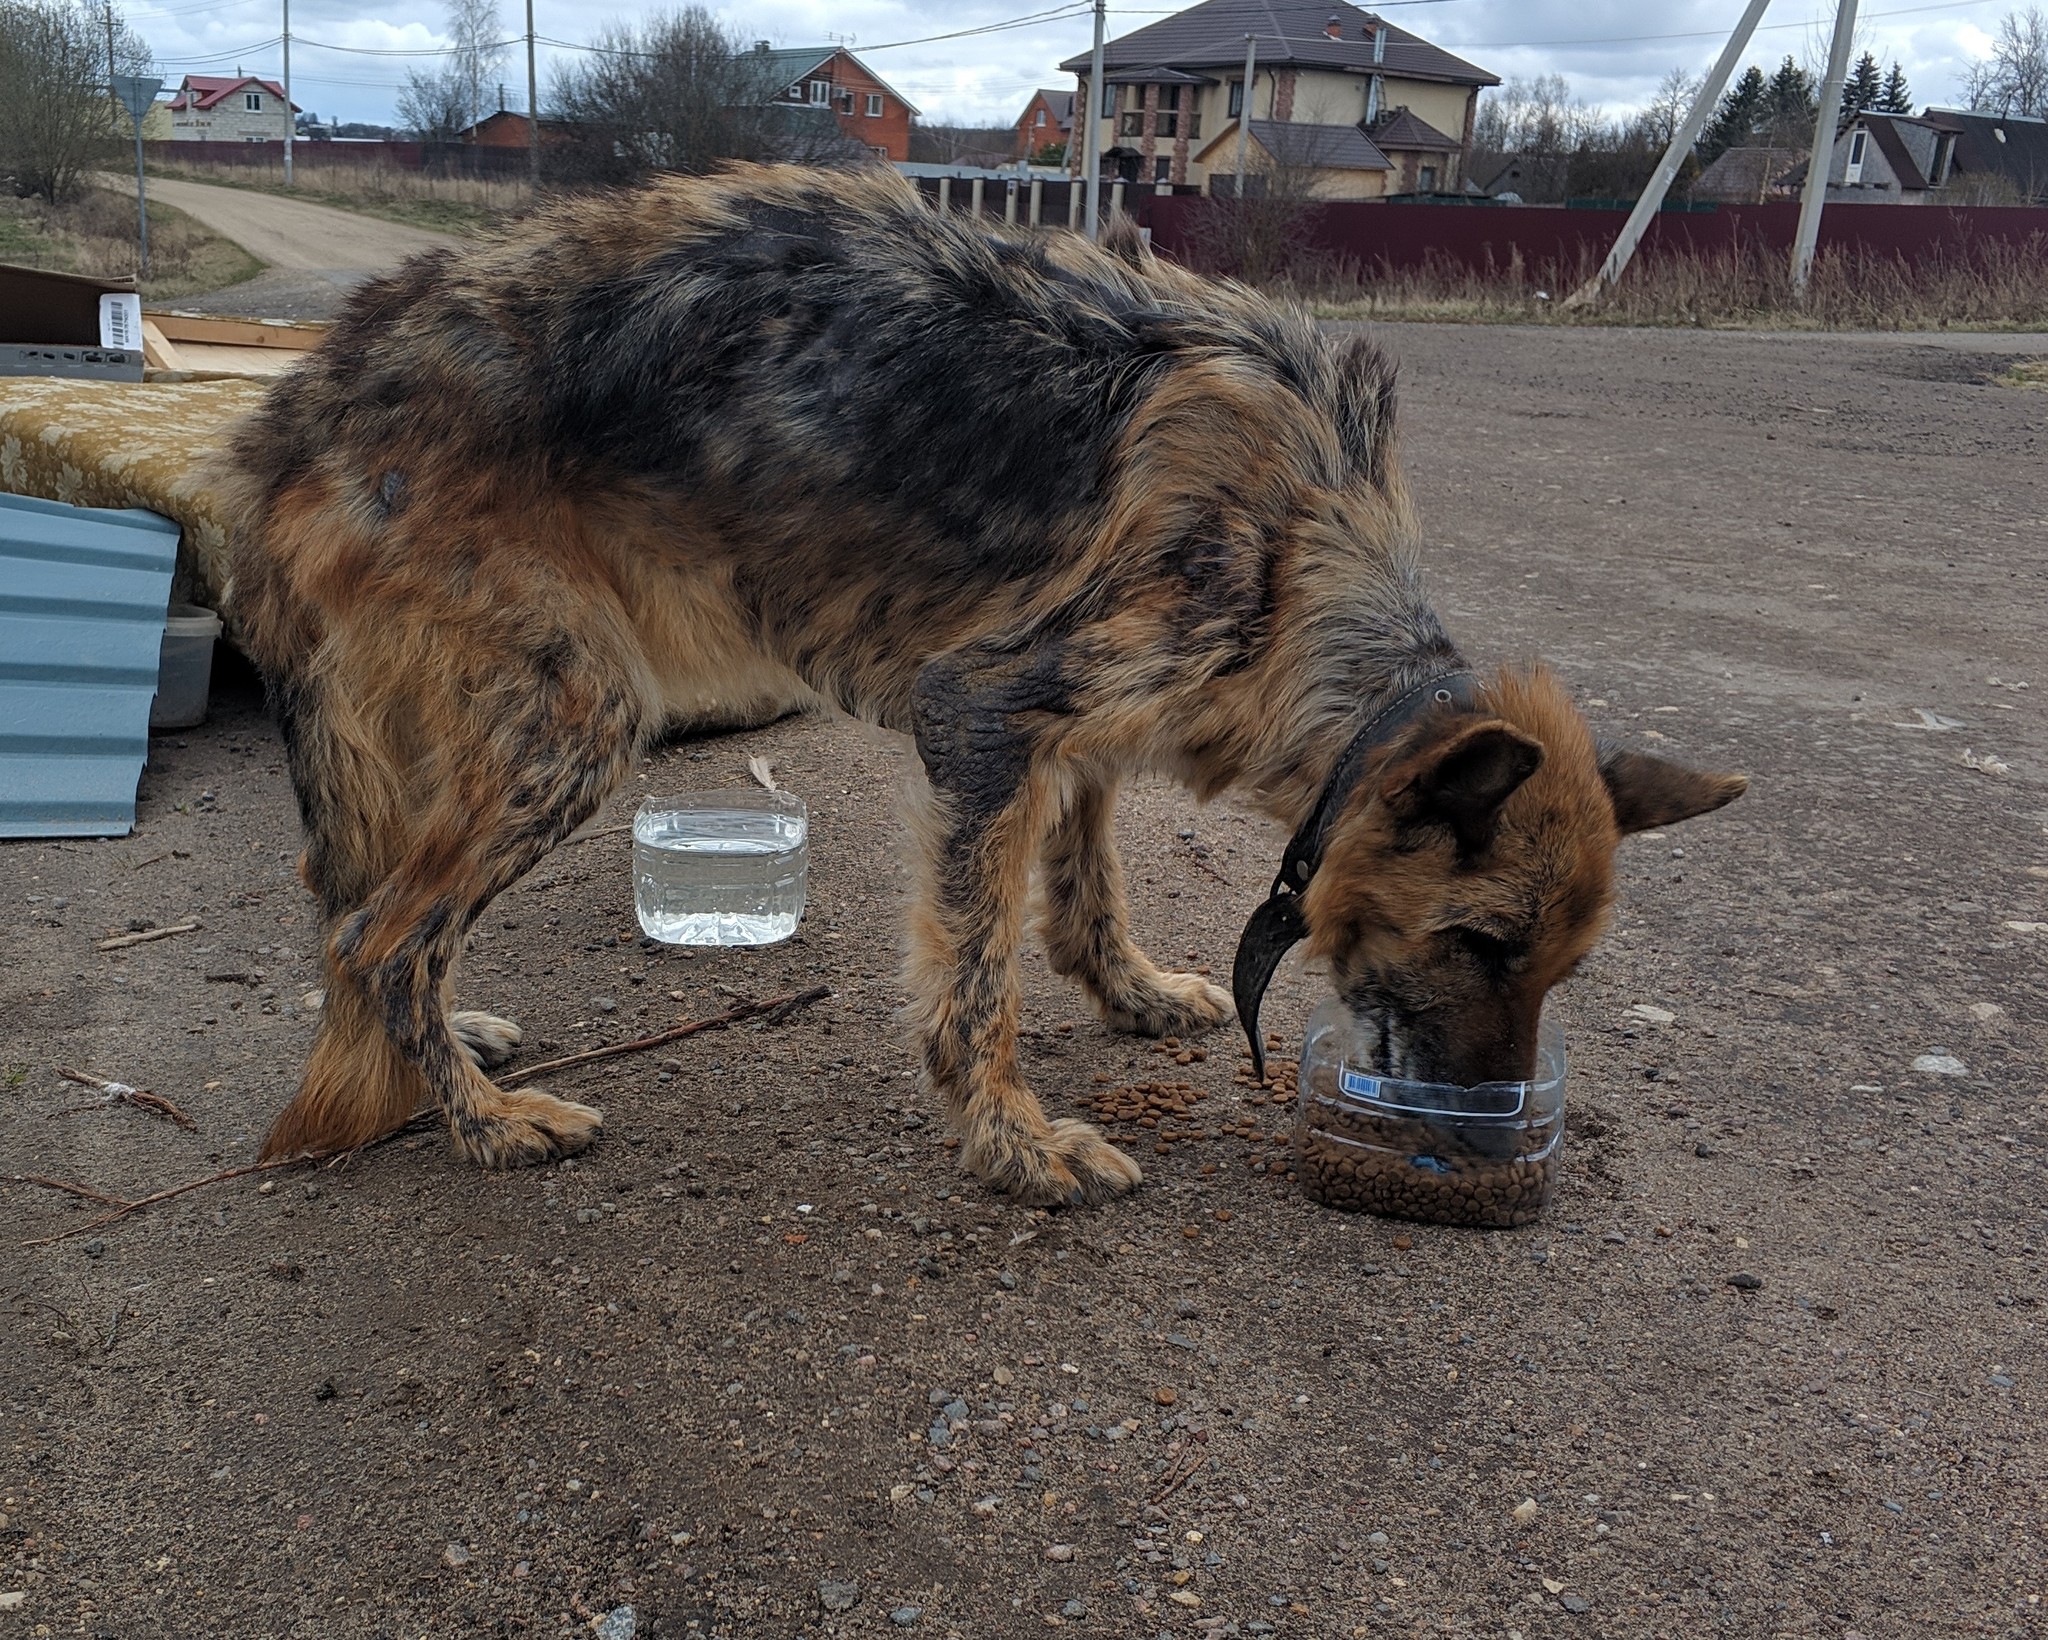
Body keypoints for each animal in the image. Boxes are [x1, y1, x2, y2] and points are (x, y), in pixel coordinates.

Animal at [224, 165, 1744, 1203]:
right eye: (1481, 941)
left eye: (1559, 965)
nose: (1475, 1149)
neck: (1305, 544)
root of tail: (302, 398)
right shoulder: (984, 721)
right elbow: (976, 977)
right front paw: (1011, 1141)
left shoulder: (1080, 734)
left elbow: (1085, 890)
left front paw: (1129, 993)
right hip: (573, 724)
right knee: (380, 933)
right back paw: (481, 1117)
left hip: (458, 729)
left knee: (355, 900)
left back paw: (455, 1039)